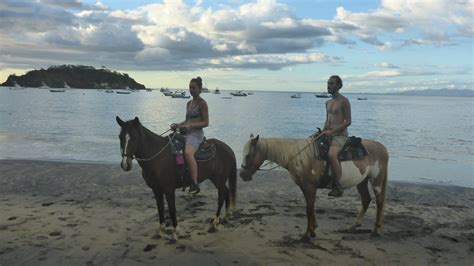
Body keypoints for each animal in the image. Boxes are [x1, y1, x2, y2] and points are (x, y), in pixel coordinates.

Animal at [241, 134, 388, 240]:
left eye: (248, 155)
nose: (242, 175)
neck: (301, 157)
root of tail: (383, 148)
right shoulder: (305, 187)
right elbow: (310, 207)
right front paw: (313, 229)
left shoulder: (310, 187)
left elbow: (309, 209)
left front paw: (307, 234)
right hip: (362, 181)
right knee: (366, 199)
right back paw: (353, 227)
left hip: (376, 181)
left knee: (380, 201)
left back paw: (376, 230)